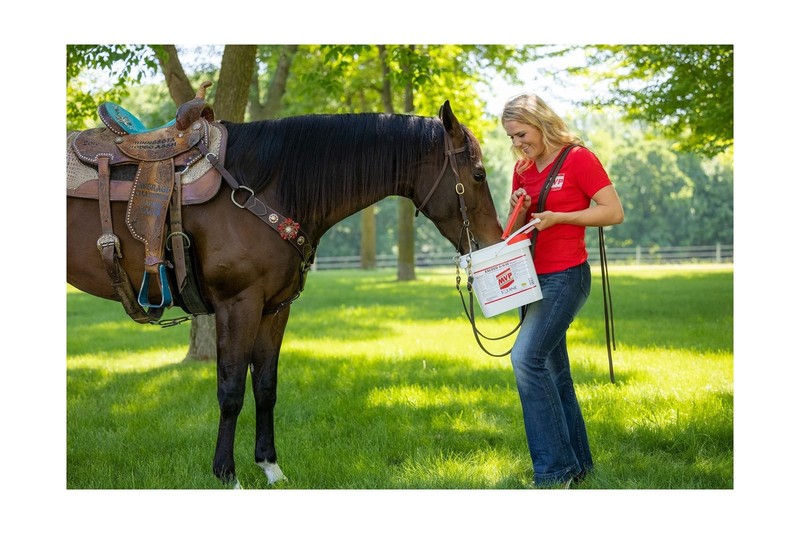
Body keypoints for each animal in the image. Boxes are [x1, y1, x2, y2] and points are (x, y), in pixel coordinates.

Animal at [66, 100, 503, 487]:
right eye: (479, 175)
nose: (491, 241)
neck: (264, 186)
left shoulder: (273, 309)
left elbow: (265, 386)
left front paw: (269, 467)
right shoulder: (237, 305)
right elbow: (231, 390)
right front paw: (227, 474)